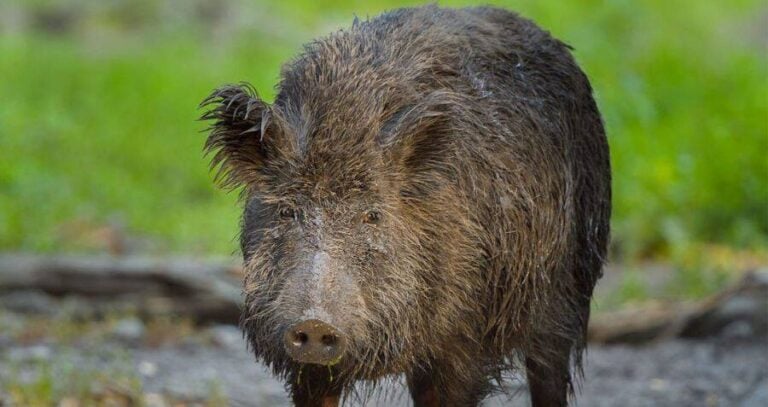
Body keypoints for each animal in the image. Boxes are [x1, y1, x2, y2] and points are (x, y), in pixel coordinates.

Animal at [201, 5, 610, 407]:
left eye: (373, 215)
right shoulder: (307, 368)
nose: (315, 324)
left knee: (549, 371)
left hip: (570, 284)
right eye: (287, 211)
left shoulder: (465, 338)